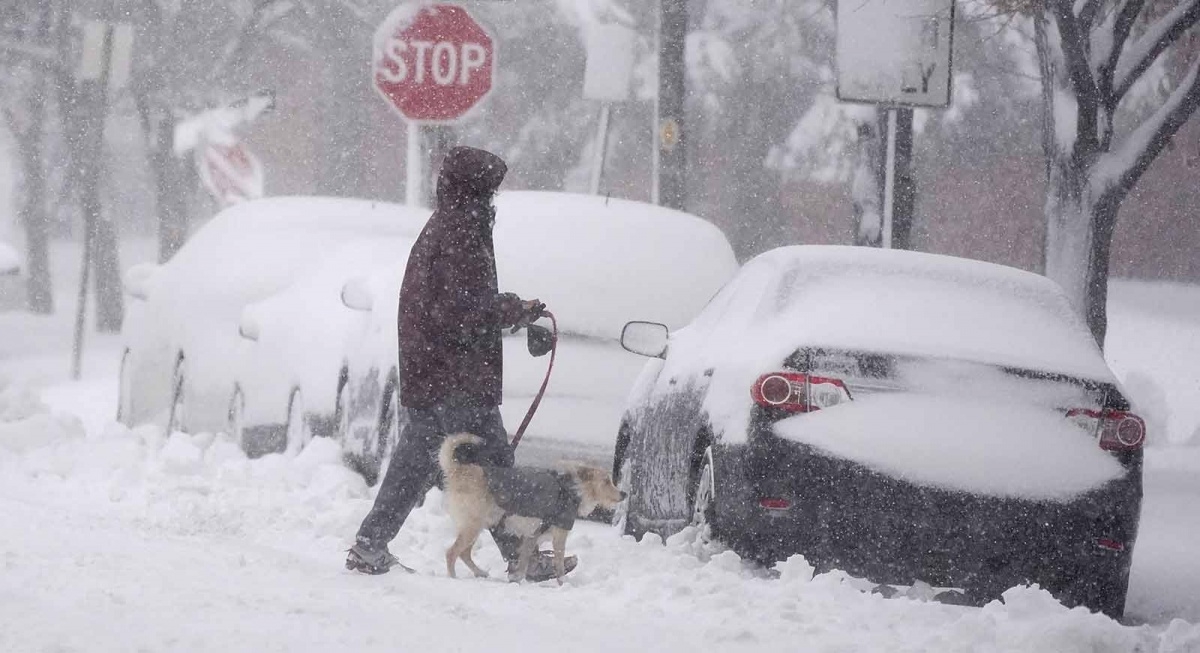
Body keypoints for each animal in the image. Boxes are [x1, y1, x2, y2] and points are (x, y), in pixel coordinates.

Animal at [441, 434, 628, 580]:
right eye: (606, 481)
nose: (624, 494)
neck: (572, 489)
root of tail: (458, 471)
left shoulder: (531, 537)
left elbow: (523, 563)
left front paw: (519, 580)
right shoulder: (559, 535)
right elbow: (559, 565)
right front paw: (563, 584)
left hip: (476, 525)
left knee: (464, 553)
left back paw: (479, 572)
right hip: (472, 525)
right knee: (452, 553)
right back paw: (453, 577)